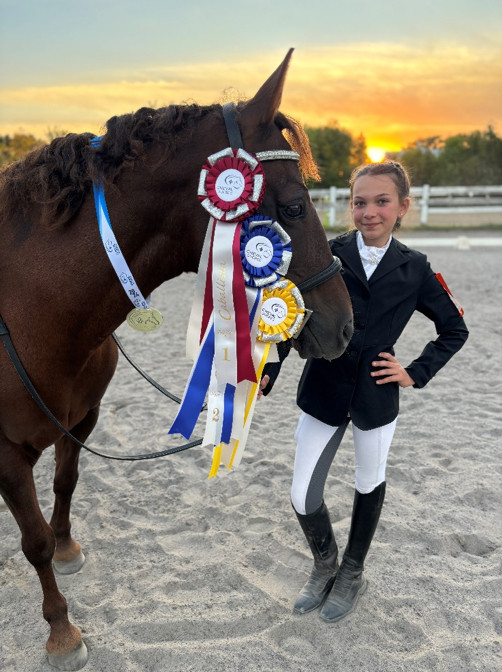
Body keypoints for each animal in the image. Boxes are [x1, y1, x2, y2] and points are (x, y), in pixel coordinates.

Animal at [0, 50, 352, 668]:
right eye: (291, 205)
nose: (344, 326)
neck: (31, 308)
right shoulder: (5, 454)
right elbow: (33, 540)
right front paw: (62, 631)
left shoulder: (80, 420)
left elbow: (65, 485)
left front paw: (68, 549)